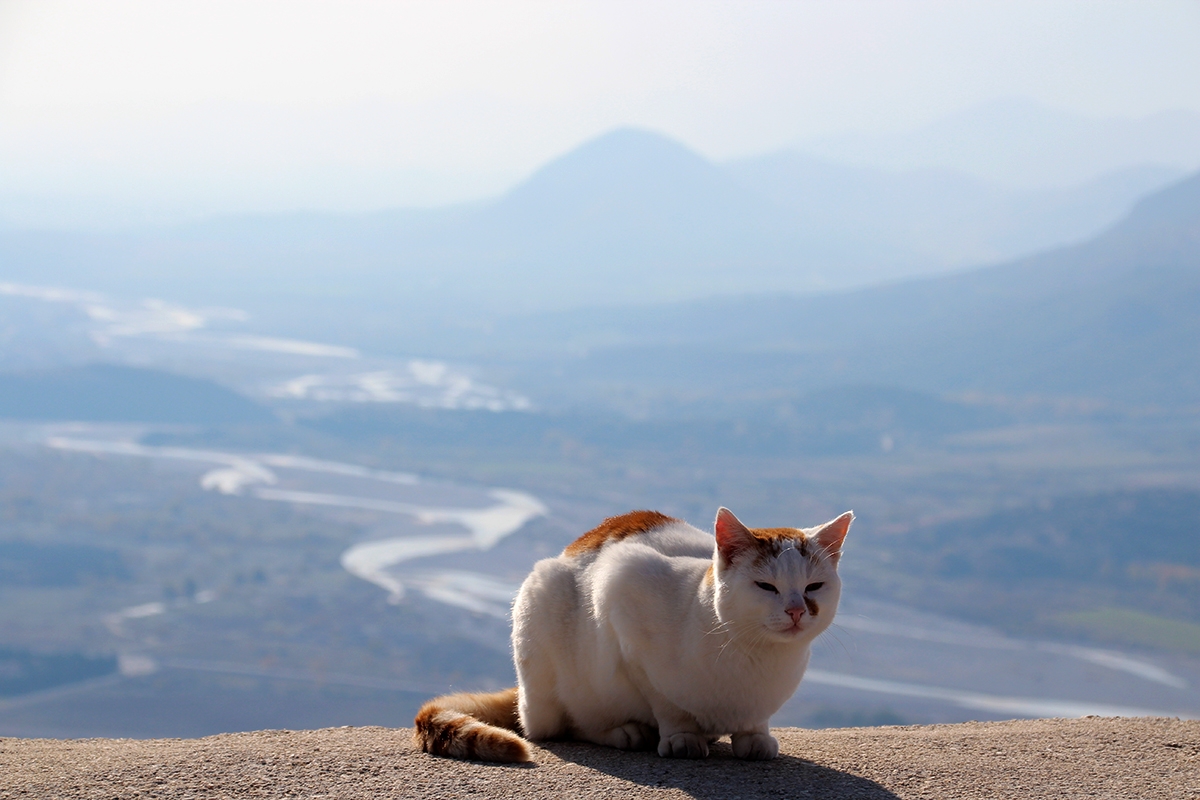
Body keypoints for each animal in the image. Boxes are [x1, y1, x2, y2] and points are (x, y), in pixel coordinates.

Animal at [412, 506, 854, 762]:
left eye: (814, 587)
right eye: (766, 587)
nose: (797, 610)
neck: (755, 655)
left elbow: (755, 721)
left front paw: (754, 737)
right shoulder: (622, 590)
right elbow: (665, 701)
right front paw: (681, 736)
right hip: (542, 617)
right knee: (564, 725)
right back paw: (625, 732)